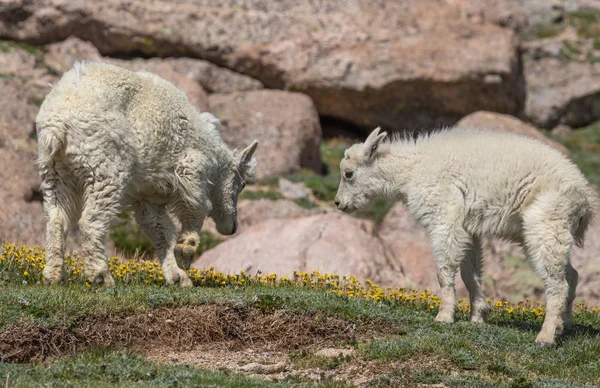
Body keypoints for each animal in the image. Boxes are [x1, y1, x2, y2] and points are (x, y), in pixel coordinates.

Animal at [37, 62, 258, 288]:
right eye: (242, 184)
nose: (232, 227)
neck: (212, 154)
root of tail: (56, 125)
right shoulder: (190, 170)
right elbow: (196, 206)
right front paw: (186, 248)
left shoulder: (147, 194)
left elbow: (160, 230)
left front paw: (177, 276)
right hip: (104, 168)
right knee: (90, 221)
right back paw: (100, 276)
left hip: (55, 172)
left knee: (56, 219)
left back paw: (53, 276)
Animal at [336, 126, 596, 344]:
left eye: (348, 174)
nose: (339, 203)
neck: (411, 170)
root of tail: (585, 200)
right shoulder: (470, 228)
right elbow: (470, 273)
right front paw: (478, 316)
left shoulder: (444, 217)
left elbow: (444, 271)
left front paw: (444, 316)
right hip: (553, 232)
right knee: (571, 275)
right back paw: (564, 326)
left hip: (545, 224)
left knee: (557, 283)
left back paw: (546, 336)